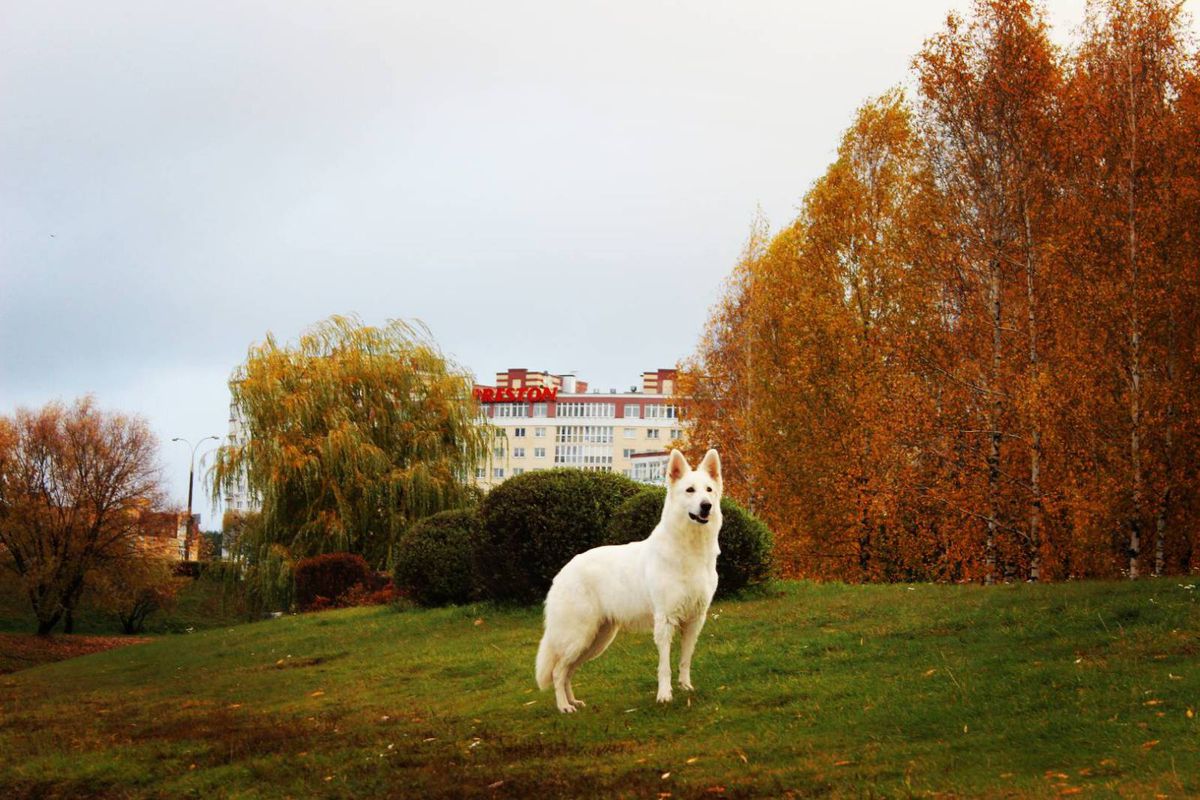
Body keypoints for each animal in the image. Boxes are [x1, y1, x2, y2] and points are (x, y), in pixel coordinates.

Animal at [535, 450, 720, 714]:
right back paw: (564, 707)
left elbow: (685, 660)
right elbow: (665, 666)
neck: (689, 550)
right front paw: (664, 696)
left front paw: (686, 687)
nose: (707, 506)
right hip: (579, 636)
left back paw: (573, 702)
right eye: (690, 490)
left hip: (595, 640)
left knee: (567, 671)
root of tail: (562, 572)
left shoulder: (695, 620)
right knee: (558, 672)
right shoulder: (665, 621)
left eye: (709, 489)